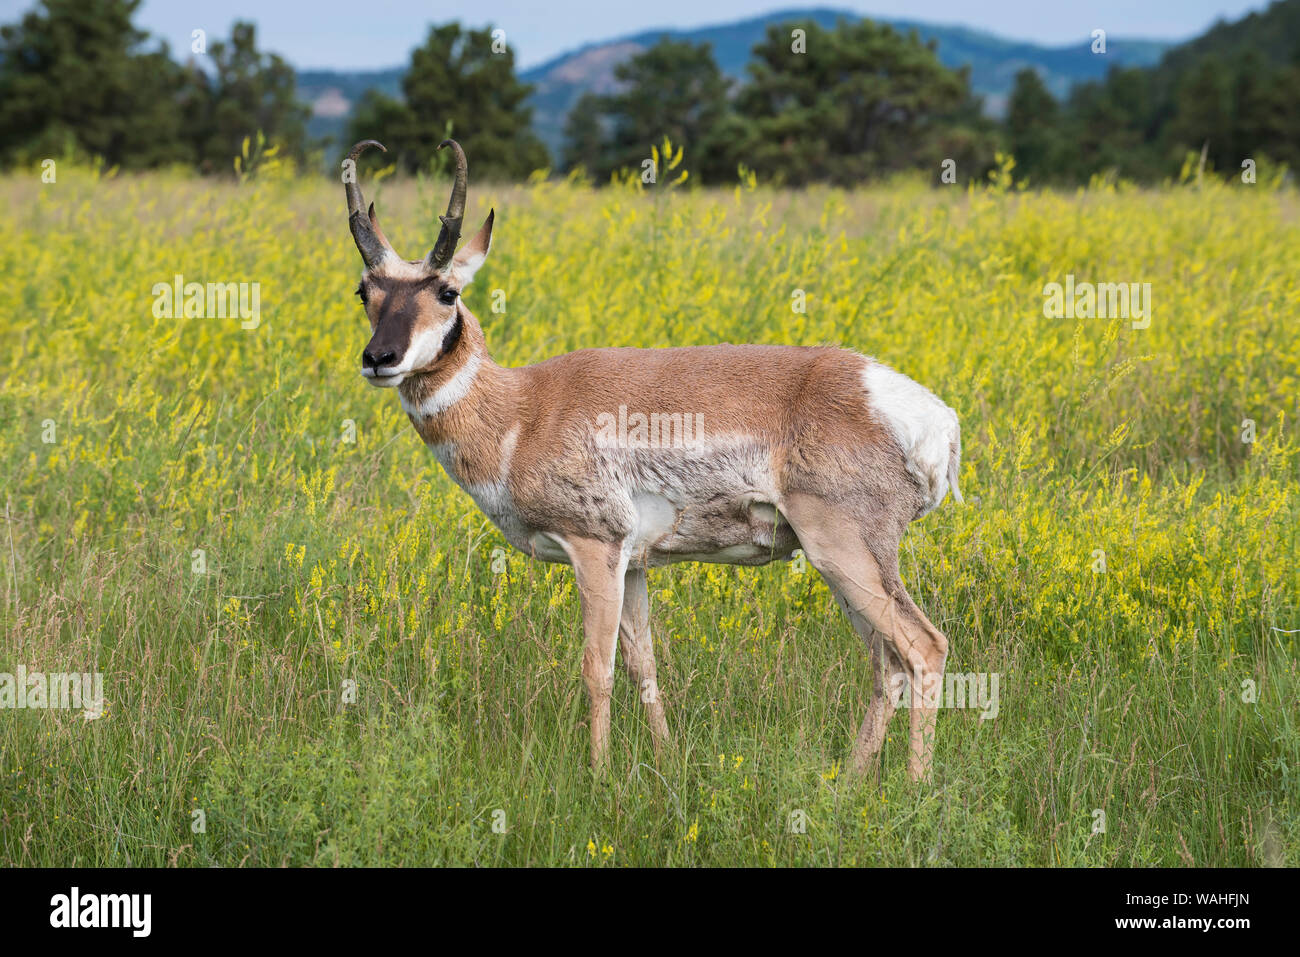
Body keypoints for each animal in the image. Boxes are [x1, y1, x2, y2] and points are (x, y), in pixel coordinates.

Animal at [343, 139, 963, 781]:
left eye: (448, 292)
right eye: (364, 291)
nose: (379, 358)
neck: (524, 407)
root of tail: (928, 416)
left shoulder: (595, 548)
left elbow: (597, 668)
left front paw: (599, 777)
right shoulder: (635, 563)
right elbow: (644, 665)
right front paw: (664, 763)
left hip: (844, 551)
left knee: (923, 647)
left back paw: (912, 787)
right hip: (842, 564)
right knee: (885, 662)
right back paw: (849, 783)